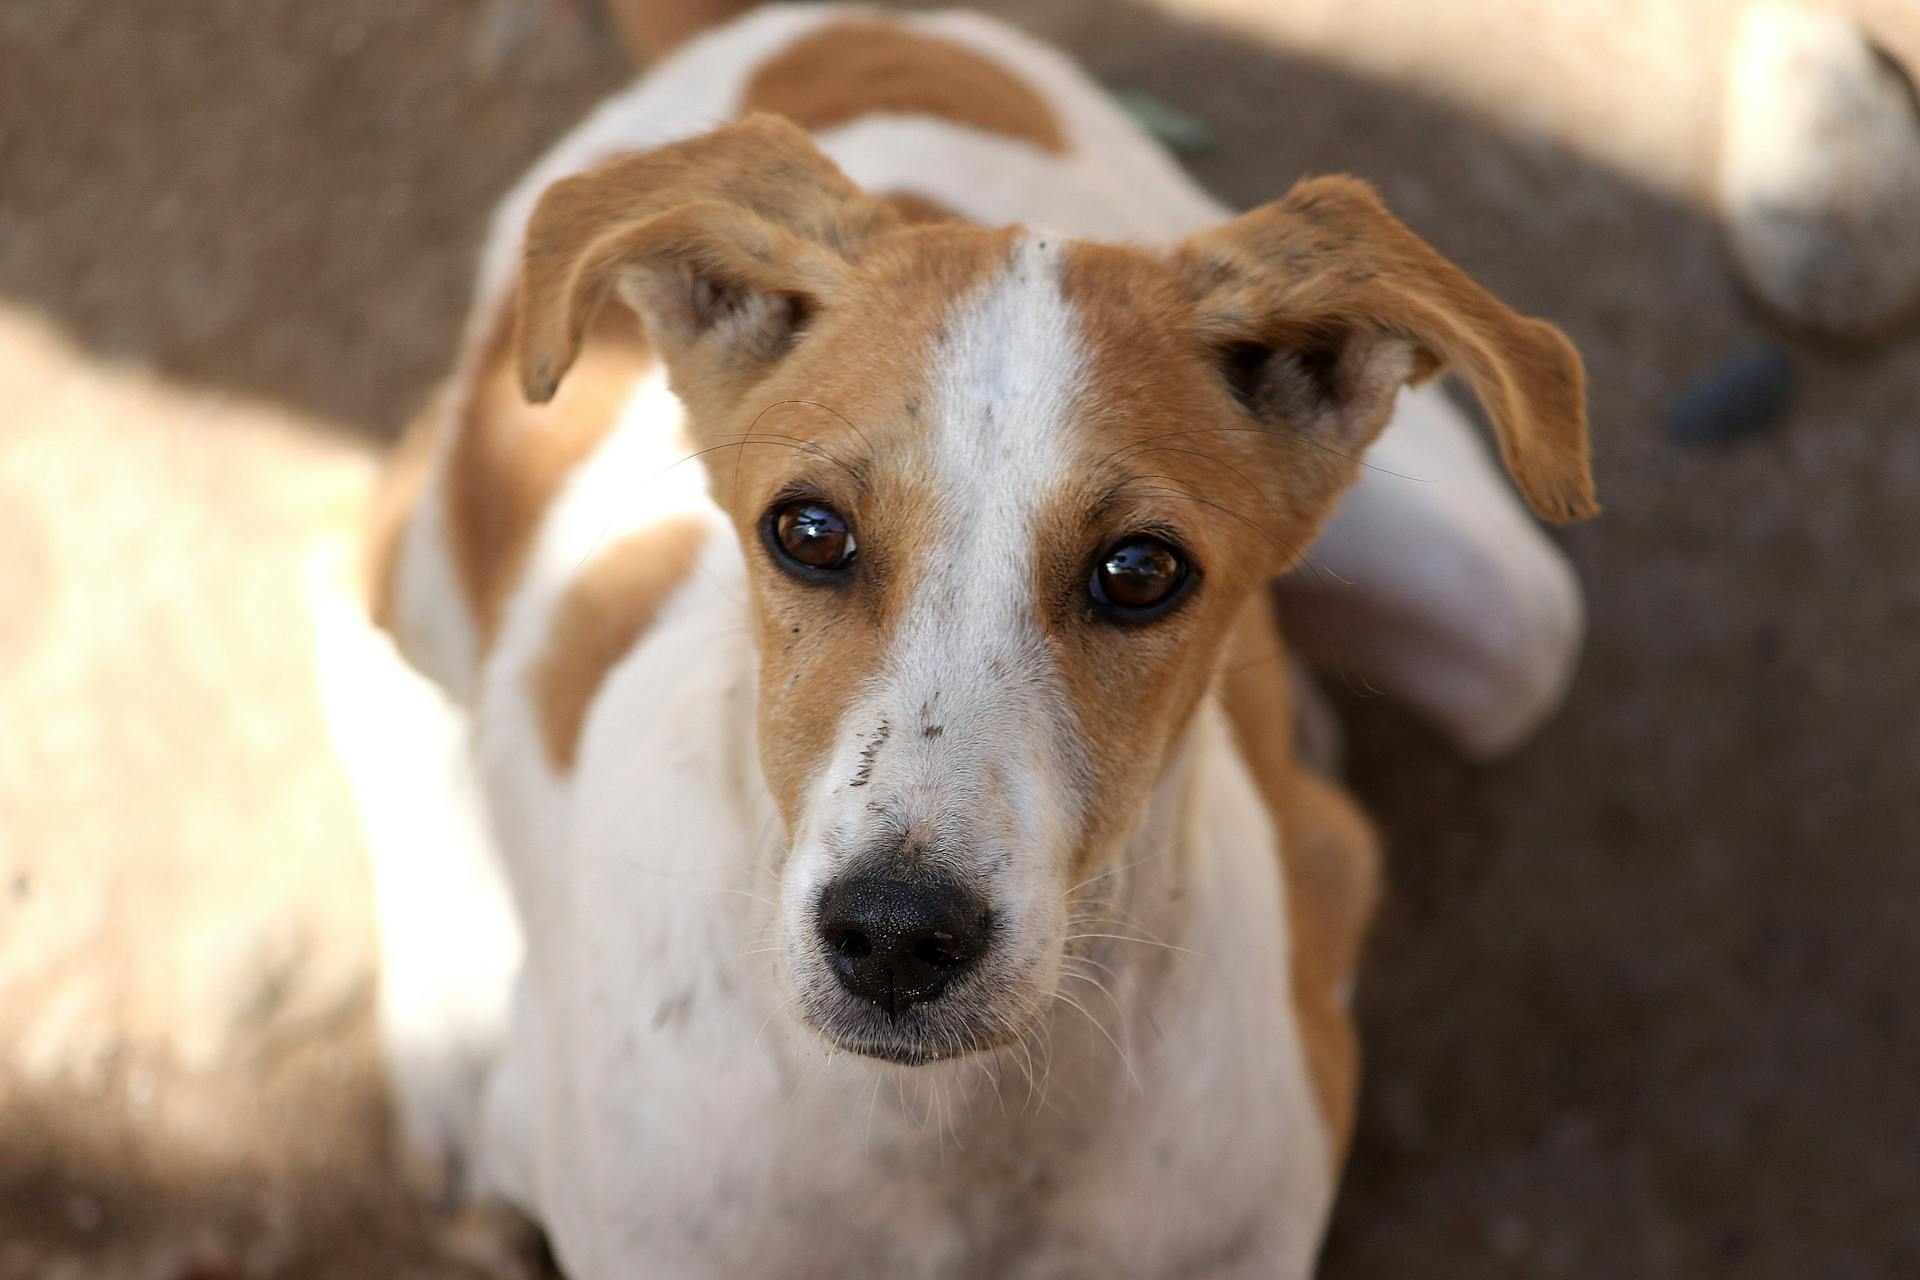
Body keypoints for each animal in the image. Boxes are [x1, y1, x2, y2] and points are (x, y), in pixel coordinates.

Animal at [318, 5, 1605, 1274]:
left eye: (1141, 571)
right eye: (807, 531)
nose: (894, 936)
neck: (948, 1137)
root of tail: (814, 25)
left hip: (1512, 613)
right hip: (440, 533)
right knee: (342, 596)